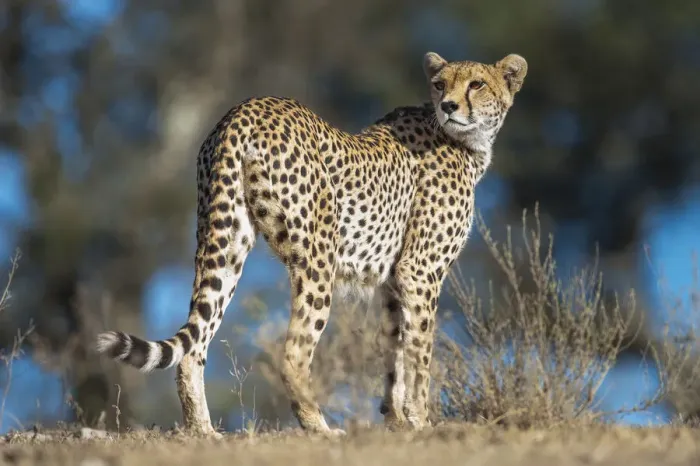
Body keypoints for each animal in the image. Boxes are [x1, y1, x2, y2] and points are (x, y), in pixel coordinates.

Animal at [96, 51, 527, 437]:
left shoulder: (393, 282)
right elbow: (420, 354)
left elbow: (395, 354)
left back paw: (204, 431)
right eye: (440, 84)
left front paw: (396, 420)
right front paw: (421, 422)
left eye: (477, 84)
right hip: (318, 258)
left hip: (225, 239)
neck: (462, 140)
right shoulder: (419, 272)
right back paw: (319, 427)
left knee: (193, 348)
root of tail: (245, 108)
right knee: (292, 353)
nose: (449, 105)